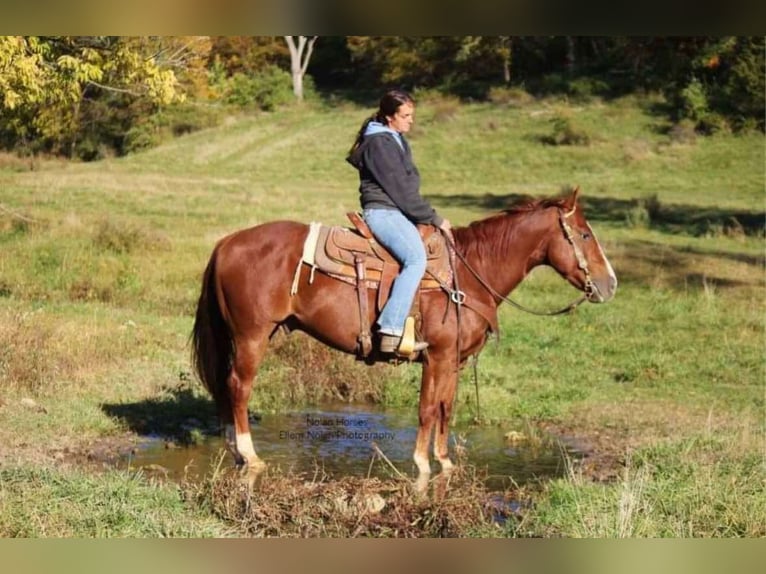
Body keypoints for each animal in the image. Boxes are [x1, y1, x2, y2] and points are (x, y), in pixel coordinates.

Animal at [192, 188, 616, 490]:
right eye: (584, 234)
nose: (610, 284)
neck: (469, 273)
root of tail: (227, 242)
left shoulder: (453, 361)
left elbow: (446, 408)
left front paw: (445, 462)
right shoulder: (437, 357)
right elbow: (427, 409)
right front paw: (423, 466)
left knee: (226, 387)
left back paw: (234, 449)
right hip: (252, 336)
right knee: (239, 386)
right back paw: (250, 454)